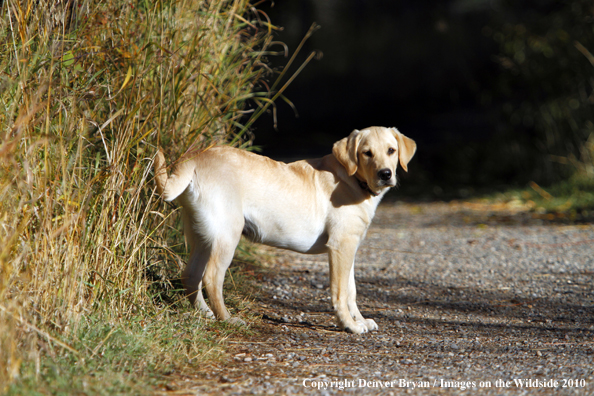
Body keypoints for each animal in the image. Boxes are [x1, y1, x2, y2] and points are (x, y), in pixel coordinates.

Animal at [154, 127, 412, 334]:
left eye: (391, 150)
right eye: (366, 153)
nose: (385, 174)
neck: (353, 180)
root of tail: (196, 159)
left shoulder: (349, 248)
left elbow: (352, 291)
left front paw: (359, 320)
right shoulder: (340, 247)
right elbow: (340, 292)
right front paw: (349, 325)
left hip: (201, 236)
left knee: (191, 276)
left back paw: (206, 314)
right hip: (227, 235)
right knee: (211, 277)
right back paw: (227, 319)